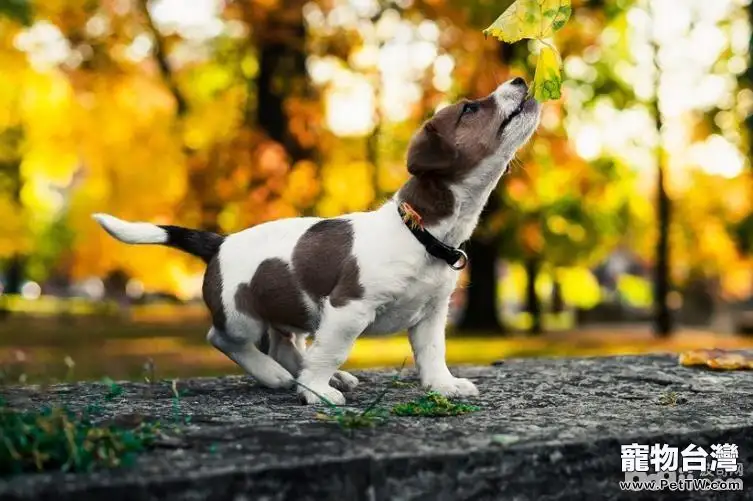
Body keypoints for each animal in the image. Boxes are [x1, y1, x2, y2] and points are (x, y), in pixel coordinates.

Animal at [92, 79, 540, 406]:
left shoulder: (431, 313)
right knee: (223, 339)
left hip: (289, 310)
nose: (519, 79)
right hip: (241, 316)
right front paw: (317, 391)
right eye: (470, 109)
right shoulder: (348, 308)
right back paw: (277, 376)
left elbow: (433, 353)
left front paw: (443, 386)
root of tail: (220, 243)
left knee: (285, 345)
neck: (419, 232)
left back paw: (303, 374)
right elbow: (334, 348)